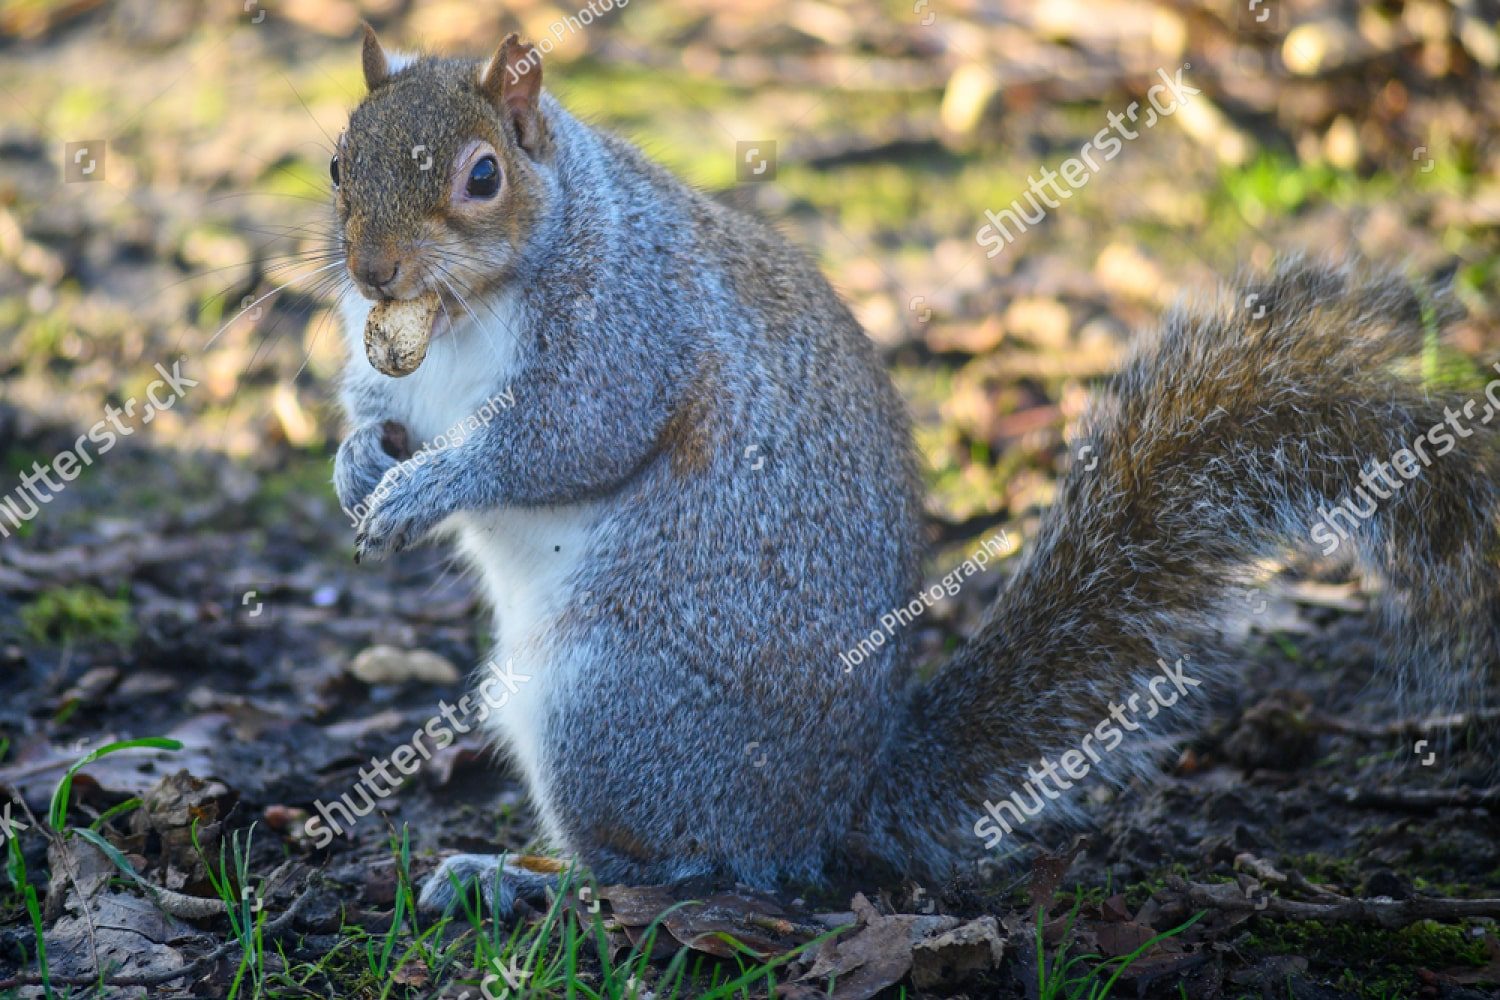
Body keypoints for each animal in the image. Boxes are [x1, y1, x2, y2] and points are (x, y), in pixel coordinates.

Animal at [328, 27, 1500, 912]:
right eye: (339, 164)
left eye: (483, 178)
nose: (373, 270)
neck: (463, 307)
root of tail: (831, 808)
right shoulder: (399, 370)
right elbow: (381, 413)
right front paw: (356, 467)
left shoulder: (629, 325)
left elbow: (569, 437)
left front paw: (429, 488)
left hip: (610, 704)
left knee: (672, 868)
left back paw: (531, 878)